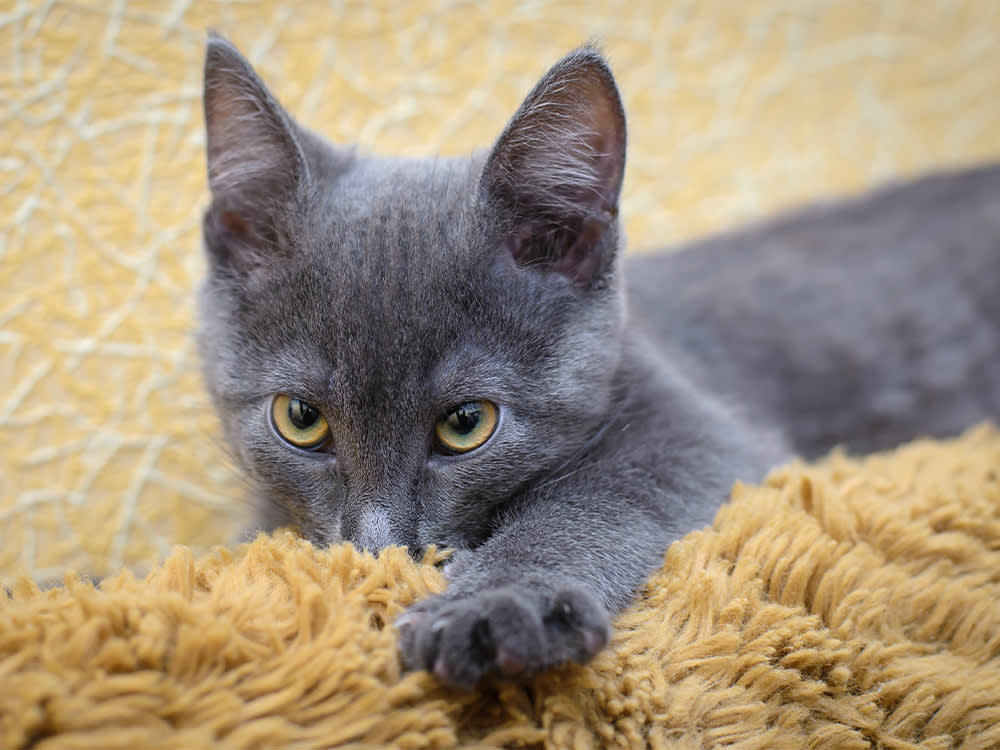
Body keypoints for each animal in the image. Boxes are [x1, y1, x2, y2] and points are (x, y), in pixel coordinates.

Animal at [197, 38, 1000, 692]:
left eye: (467, 424)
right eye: (301, 418)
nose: (379, 548)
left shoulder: (701, 427)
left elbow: (601, 495)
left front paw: (495, 607)